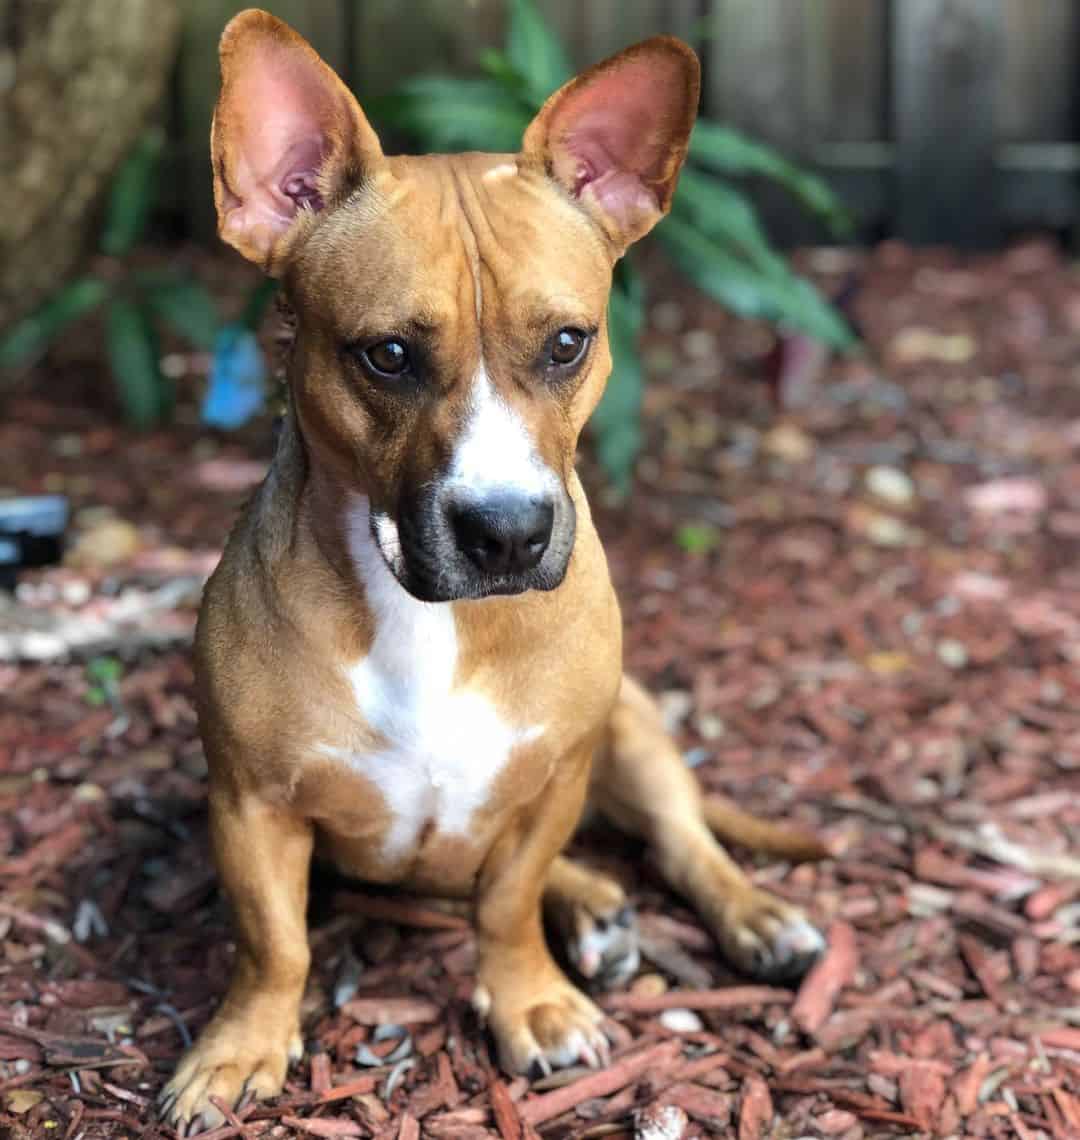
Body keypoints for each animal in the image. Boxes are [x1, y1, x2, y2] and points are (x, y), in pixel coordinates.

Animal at [160, 8, 825, 1130]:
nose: (508, 530)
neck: (423, 617)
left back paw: (752, 916)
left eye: (567, 343)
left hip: (631, 732)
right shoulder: (250, 805)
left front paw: (532, 1005)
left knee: (681, 840)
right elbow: (274, 943)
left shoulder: (557, 774)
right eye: (385, 355)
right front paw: (240, 1045)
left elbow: (508, 903)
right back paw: (595, 906)